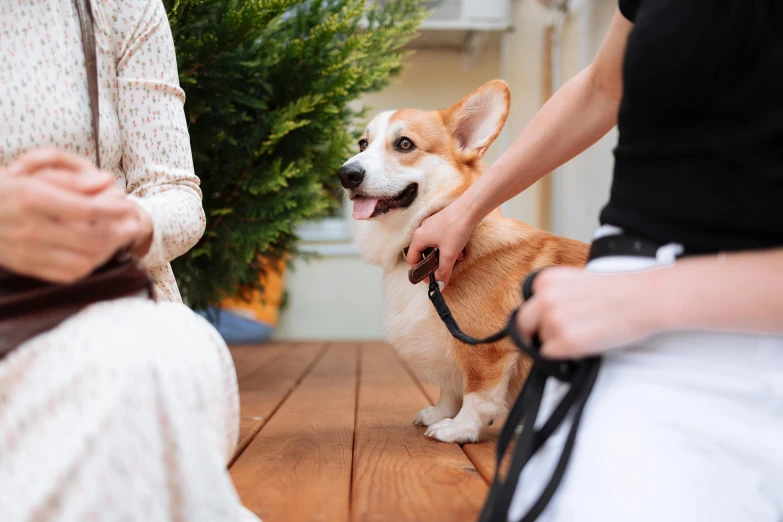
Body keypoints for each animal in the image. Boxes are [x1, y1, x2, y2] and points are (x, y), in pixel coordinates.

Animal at [336, 81, 588, 442]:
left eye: (404, 143)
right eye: (362, 143)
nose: (346, 174)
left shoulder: (486, 351)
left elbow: (478, 396)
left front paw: (459, 429)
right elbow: (449, 389)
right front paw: (440, 413)